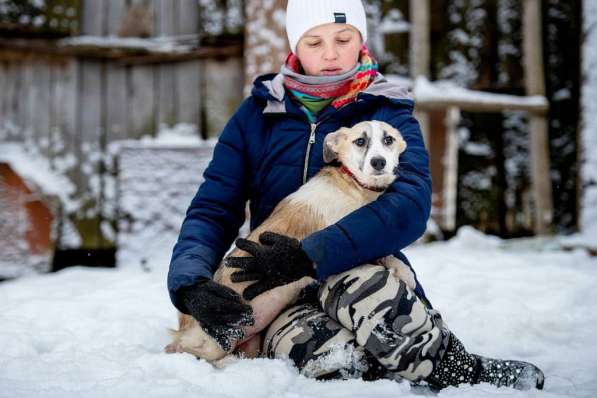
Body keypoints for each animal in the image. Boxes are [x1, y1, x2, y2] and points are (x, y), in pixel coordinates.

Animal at [163, 119, 414, 362]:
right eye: (360, 141)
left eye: (389, 140)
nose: (378, 162)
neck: (355, 185)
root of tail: (183, 327)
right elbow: (374, 251)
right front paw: (404, 271)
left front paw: (401, 270)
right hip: (215, 338)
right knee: (187, 350)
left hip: (249, 343)